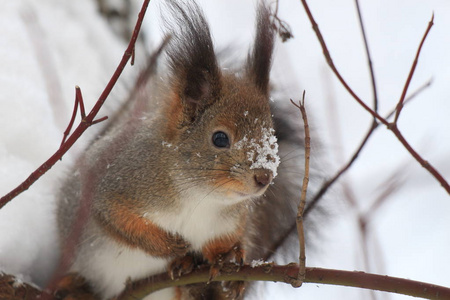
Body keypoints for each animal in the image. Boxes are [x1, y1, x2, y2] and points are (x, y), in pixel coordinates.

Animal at [56, 1, 310, 298]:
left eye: (272, 135)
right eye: (220, 138)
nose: (264, 177)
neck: (199, 197)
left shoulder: (230, 223)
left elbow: (225, 243)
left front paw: (228, 258)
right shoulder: (115, 183)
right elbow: (115, 218)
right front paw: (170, 246)